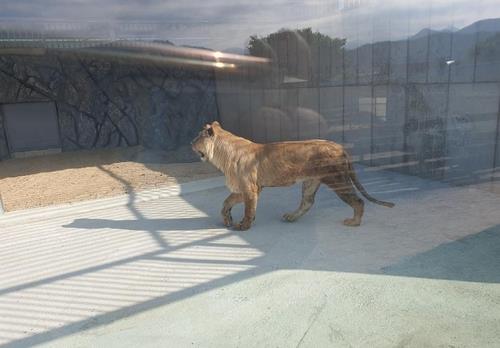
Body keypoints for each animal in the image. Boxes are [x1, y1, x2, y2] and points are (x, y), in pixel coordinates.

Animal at [191, 121, 394, 230]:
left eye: (197, 137)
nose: (190, 143)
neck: (222, 155)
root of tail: (340, 147)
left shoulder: (250, 189)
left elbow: (248, 210)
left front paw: (243, 226)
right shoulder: (247, 188)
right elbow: (226, 202)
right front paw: (227, 219)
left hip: (337, 180)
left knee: (358, 201)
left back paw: (354, 222)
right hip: (311, 182)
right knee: (307, 202)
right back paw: (291, 217)